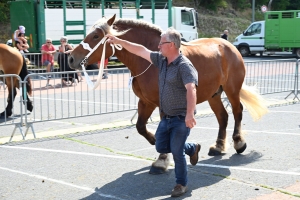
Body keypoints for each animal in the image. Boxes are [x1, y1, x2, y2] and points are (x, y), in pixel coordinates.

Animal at [69, 14, 268, 173]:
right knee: (223, 116)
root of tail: (229, 45)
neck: (149, 59)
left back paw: (239, 143)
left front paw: (162, 159)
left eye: (96, 36)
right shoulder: (145, 102)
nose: (71, 58)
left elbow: (162, 128)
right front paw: (154, 140)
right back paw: (218, 146)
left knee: (237, 111)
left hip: (232, 89)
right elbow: (140, 127)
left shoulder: (161, 103)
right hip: (214, 94)